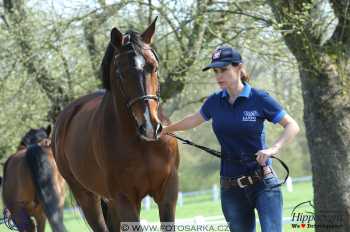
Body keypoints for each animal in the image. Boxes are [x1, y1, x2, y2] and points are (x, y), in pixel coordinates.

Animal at [52, 18, 180, 232]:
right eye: (121, 74)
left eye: (154, 67)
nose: (150, 127)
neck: (141, 143)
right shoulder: (125, 199)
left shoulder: (167, 194)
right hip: (88, 198)